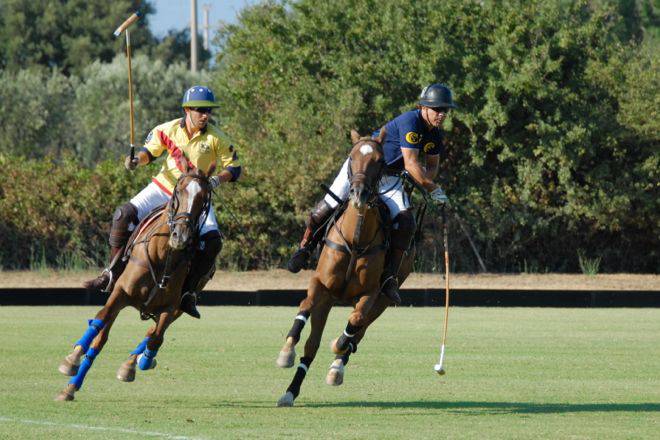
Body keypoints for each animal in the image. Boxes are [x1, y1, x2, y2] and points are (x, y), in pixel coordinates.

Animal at [56, 165, 213, 402]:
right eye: (179, 191)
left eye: (204, 199)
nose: (181, 237)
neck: (162, 255)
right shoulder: (120, 293)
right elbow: (99, 323)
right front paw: (71, 361)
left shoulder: (170, 306)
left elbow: (156, 337)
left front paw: (142, 361)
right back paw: (73, 383)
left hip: (181, 307)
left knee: (153, 332)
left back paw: (133, 363)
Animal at [276, 129, 416, 408]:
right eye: (352, 157)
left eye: (380, 161)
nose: (359, 193)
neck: (355, 239)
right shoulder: (320, 284)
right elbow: (305, 306)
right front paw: (286, 352)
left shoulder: (371, 293)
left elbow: (355, 322)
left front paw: (339, 345)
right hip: (328, 300)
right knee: (311, 345)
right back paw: (290, 391)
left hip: (383, 302)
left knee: (358, 331)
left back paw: (337, 366)